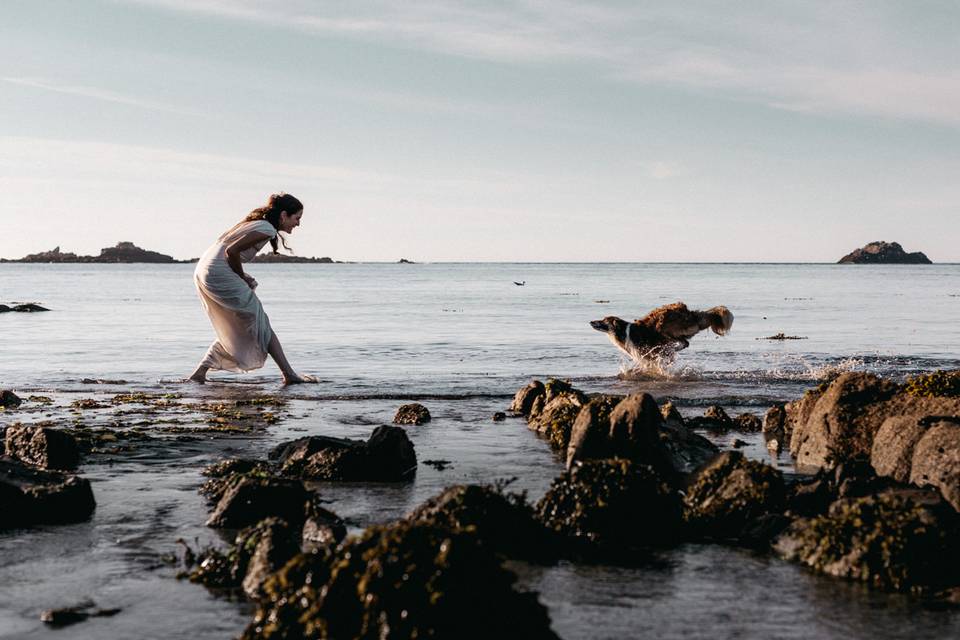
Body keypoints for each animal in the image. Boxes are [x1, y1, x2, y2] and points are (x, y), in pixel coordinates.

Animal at [584, 302, 736, 364]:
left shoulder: (643, 355)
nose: (591, 322)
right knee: (684, 343)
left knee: (684, 343)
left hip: (665, 327)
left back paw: (670, 349)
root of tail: (690, 313)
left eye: (604, 320)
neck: (623, 331)